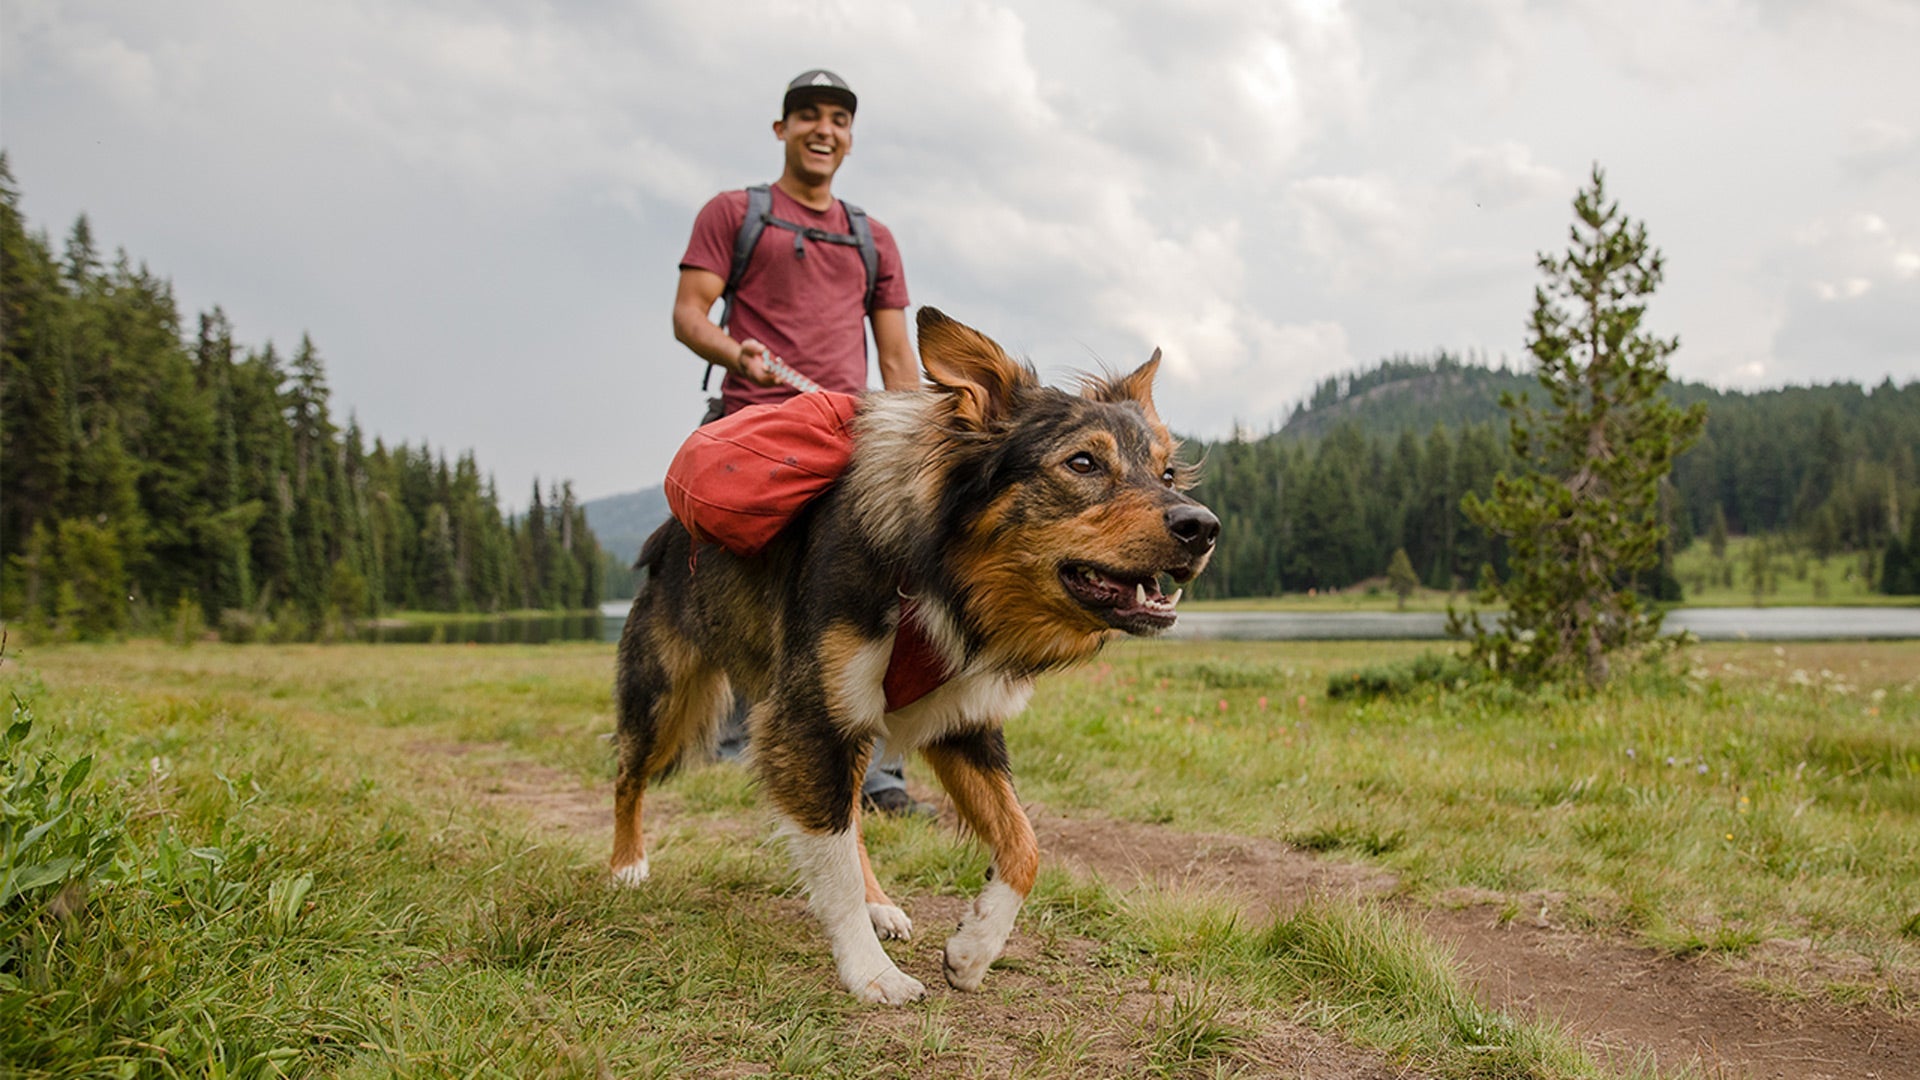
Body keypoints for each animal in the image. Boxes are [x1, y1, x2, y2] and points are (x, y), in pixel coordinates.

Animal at [606, 305, 1221, 999]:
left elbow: (1024, 842)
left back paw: (881, 904)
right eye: (1083, 463)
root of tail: (665, 532)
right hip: (663, 693)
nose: (1203, 527)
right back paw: (627, 866)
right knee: (628, 775)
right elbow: (834, 860)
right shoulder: (809, 715)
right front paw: (870, 972)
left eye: (1167, 473)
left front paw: (974, 948)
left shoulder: (962, 719)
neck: (937, 575)